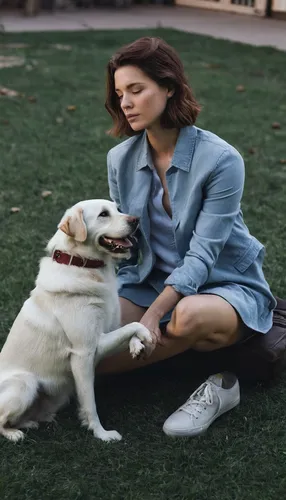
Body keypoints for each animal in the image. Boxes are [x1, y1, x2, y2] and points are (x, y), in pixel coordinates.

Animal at [0, 199, 152, 442]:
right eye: (103, 214)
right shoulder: (85, 351)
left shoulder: (107, 331)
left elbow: (128, 328)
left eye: (118, 209)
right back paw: (14, 434)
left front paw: (137, 345)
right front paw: (101, 434)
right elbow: (90, 403)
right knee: (1, 420)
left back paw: (30, 423)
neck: (82, 264)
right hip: (25, 383)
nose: (136, 220)